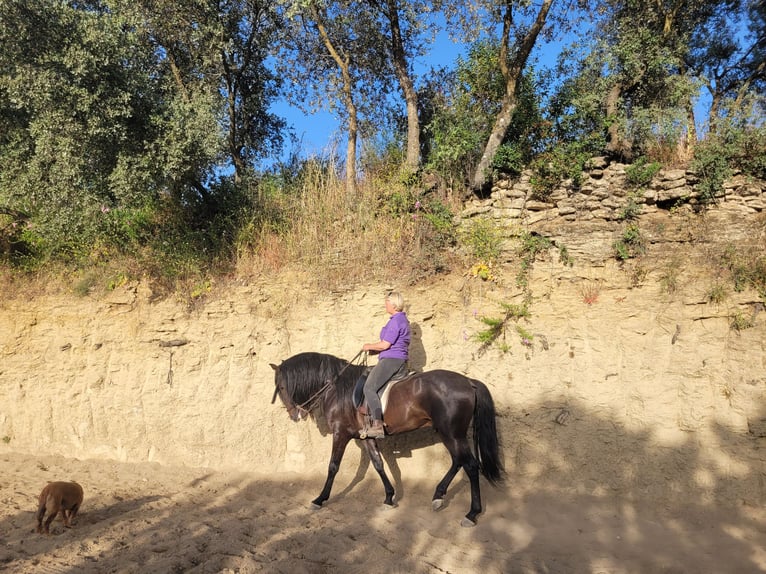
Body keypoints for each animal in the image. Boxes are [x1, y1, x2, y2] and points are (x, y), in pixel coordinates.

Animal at [270, 352, 504, 528]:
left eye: (281, 387)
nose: (294, 415)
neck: (337, 388)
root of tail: (469, 382)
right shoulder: (366, 436)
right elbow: (378, 464)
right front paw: (389, 498)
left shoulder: (340, 434)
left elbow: (333, 466)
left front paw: (319, 499)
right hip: (448, 433)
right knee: (458, 461)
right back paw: (438, 496)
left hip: (452, 433)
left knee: (471, 465)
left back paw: (471, 514)